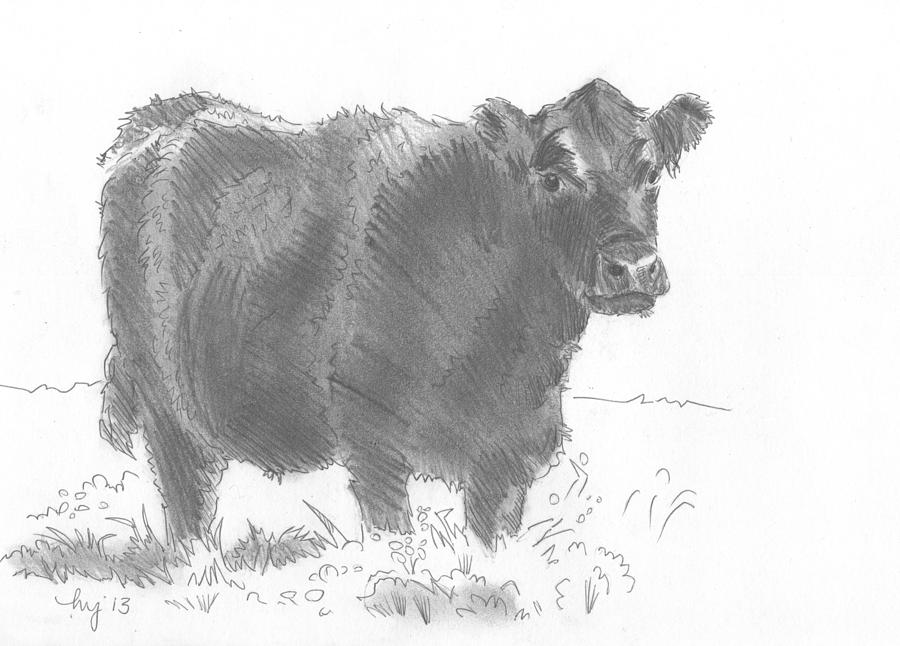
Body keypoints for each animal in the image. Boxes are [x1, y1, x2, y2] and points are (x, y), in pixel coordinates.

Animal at [98, 78, 711, 549]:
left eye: (651, 174)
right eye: (553, 177)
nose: (632, 266)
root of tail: (170, 115)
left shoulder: (512, 453)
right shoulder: (372, 442)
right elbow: (396, 546)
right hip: (161, 399)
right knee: (186, 499)